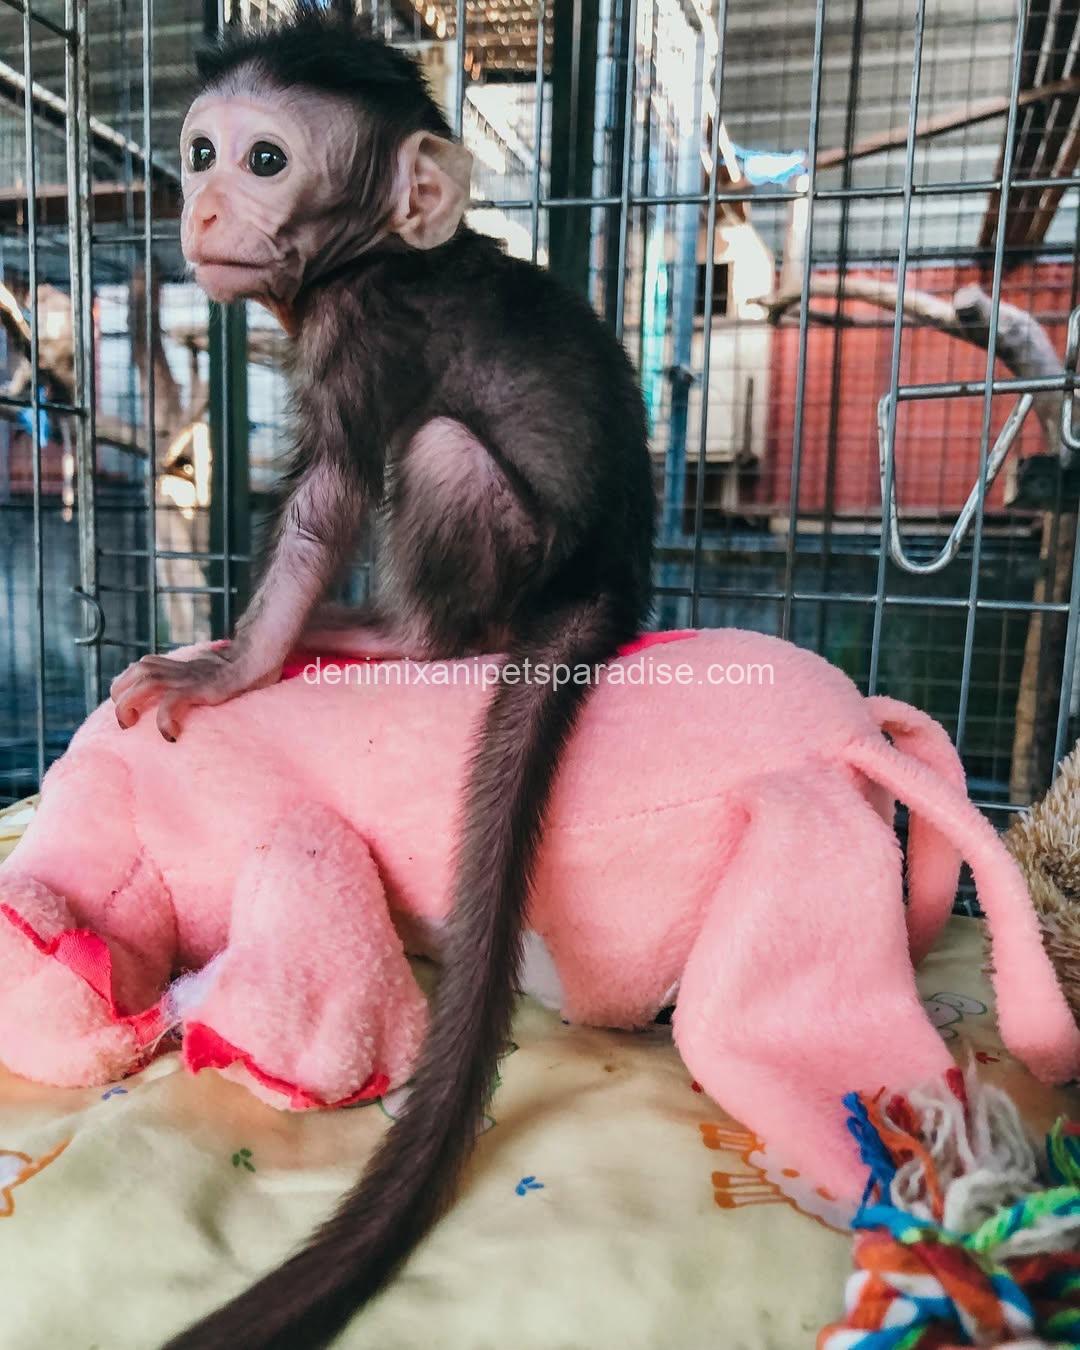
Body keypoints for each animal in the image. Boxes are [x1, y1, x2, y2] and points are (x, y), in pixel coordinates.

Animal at [111, 6, 655, 1347]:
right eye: (199, 150)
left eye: (265, 160)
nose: (203, 208)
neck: (366, 259)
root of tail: (615, 574)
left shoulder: (366, 330)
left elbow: (327, 501)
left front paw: (229, 667)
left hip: (513, 552)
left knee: (444, 455)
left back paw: (390, 639)